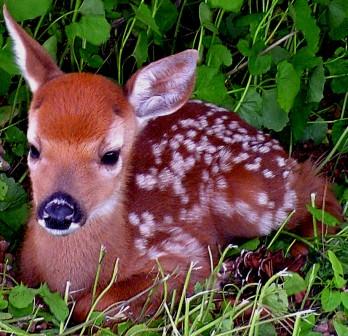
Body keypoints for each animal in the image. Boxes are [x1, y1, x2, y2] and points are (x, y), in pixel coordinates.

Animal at [3, 4, 342, 320]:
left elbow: (96, 304)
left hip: (252, 196)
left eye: (110, 154)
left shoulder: (182, 255)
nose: (58, 211)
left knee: (318, 187)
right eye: (34, 148)